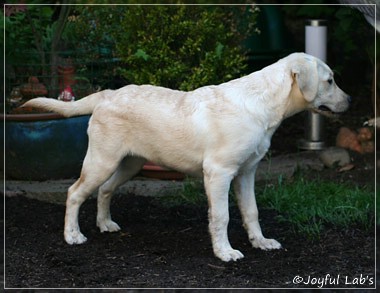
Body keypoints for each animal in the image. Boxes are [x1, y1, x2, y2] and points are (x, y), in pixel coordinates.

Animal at [23, 52, 350, 260]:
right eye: (330, 81)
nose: (349, 101)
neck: (262, 103)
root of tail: (107, 94)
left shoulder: (246, 172)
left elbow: (251, 212)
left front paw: (261, 242)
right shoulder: (219, 173)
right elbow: (221, 215)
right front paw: (225, 253)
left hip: (129, 163)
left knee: (104, 190)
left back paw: (105, 224)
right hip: (102, 160)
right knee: (75, 192)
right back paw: (72, 235)